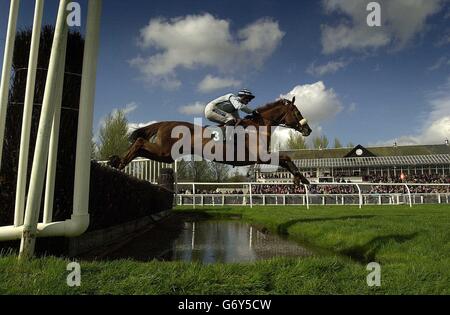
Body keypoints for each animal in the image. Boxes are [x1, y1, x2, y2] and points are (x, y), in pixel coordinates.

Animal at [109, 96, 312, 185]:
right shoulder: (260, 156)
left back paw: (117, 161)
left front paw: (300, 178)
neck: (258, 126)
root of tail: (166, 123)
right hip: (165, 151)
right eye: (297, 112)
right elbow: (285, 157)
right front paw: (300, 178)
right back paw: (119, 162)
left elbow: (285, 160)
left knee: (141, 147)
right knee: (139, 142)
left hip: (165, 155)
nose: (308, 129)